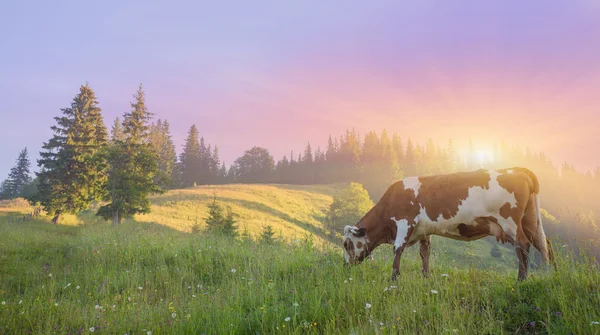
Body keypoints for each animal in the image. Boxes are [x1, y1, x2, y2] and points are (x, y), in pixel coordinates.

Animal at [342, 168, 556, 280]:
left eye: (346, 244)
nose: (345, 265)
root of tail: (518, 169)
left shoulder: (404, 223)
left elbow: (398, 251)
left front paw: (394, 279)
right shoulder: (423, 231)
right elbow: (425, 254)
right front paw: (426, 277)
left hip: (510, 222)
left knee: (523, 246)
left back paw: (521, 279)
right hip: (530, 220)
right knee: (544, 244)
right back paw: (556, 273)